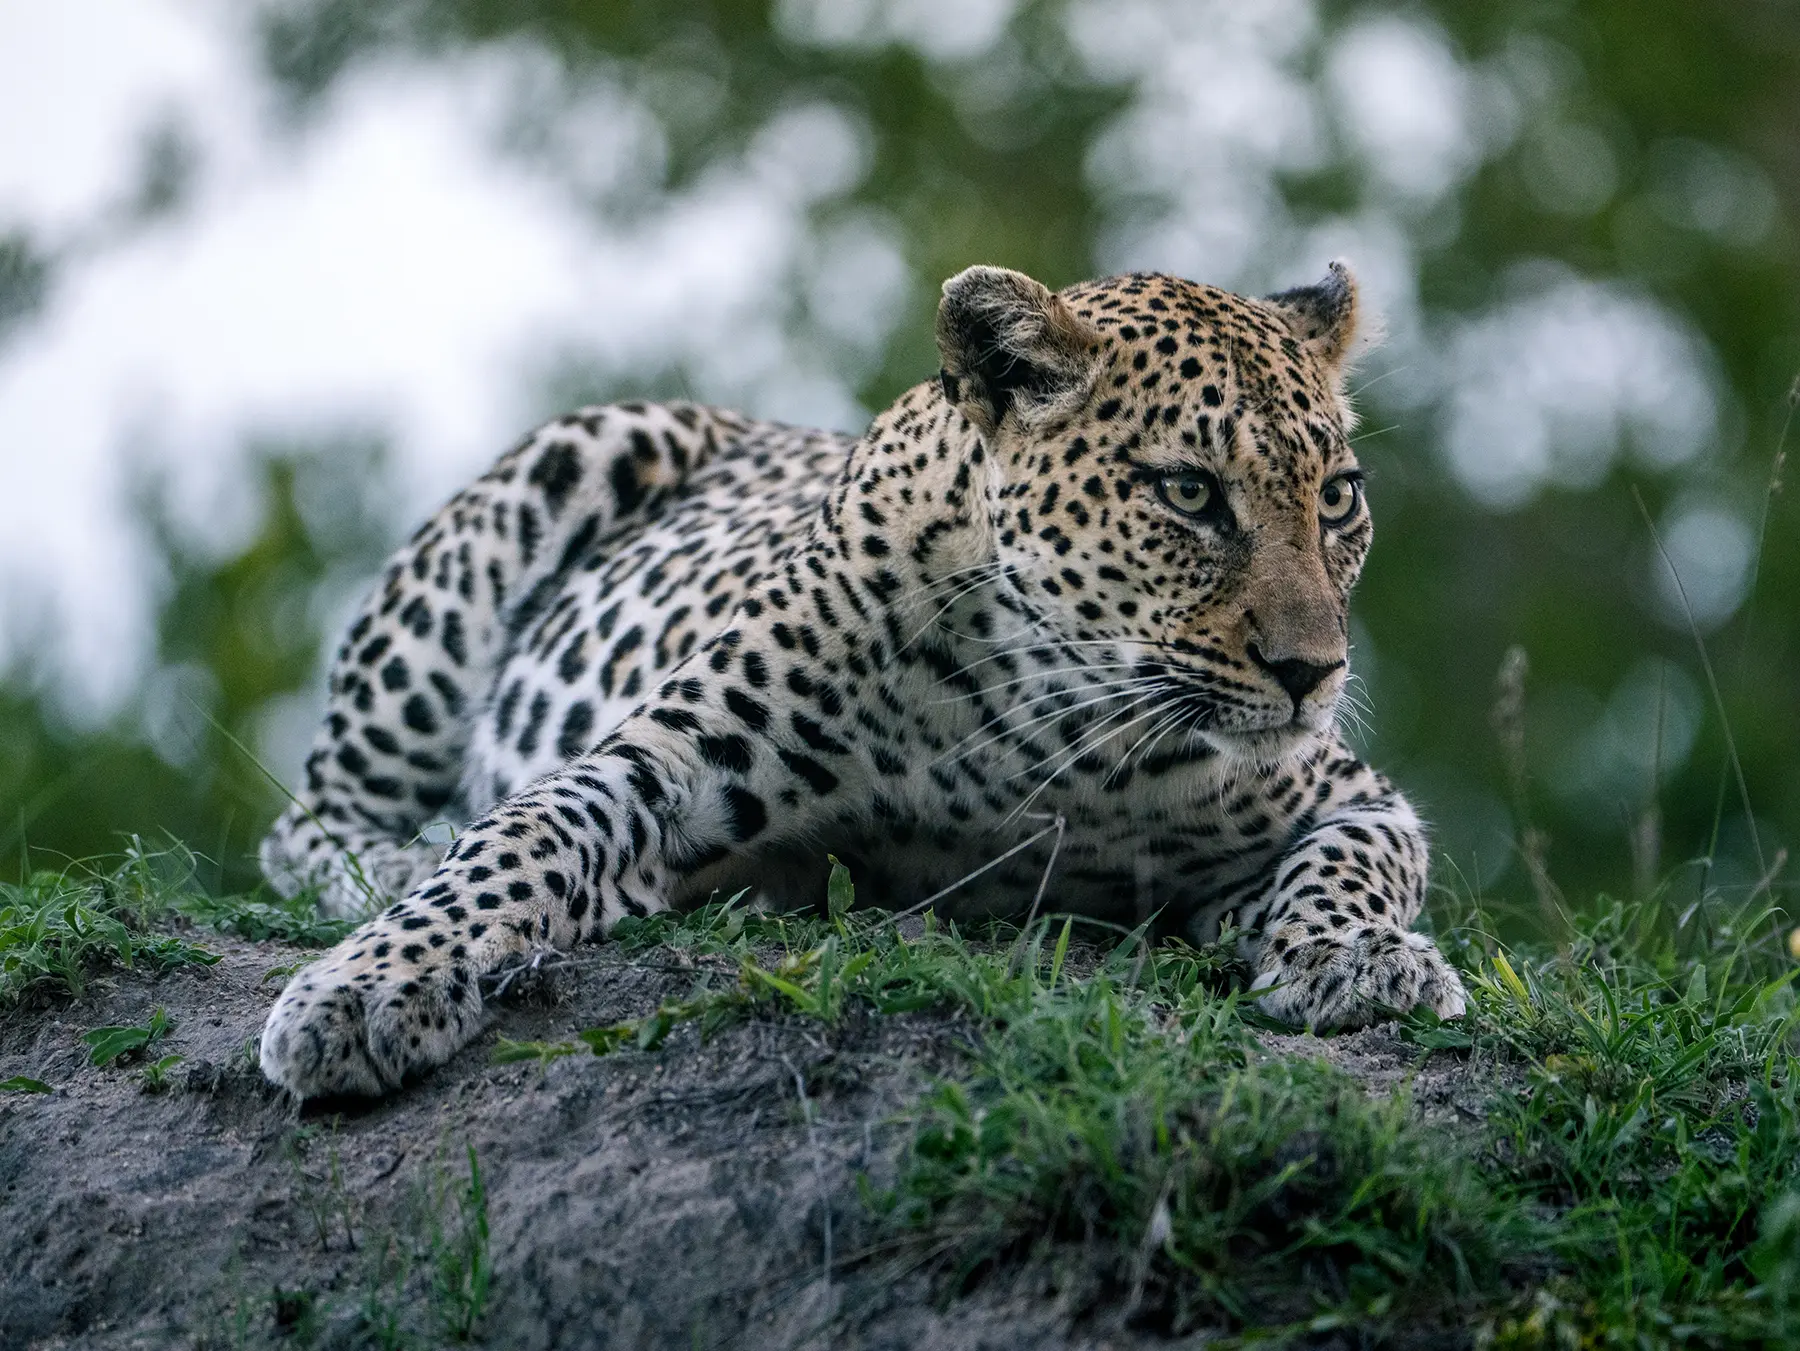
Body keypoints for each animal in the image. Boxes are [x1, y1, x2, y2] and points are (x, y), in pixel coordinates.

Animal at [258, 261, 1468, 1099]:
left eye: (1339, 497)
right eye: (1188, 491)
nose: (1314, 672)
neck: (1048, 736)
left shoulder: (1354, 795)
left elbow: (1354, 863)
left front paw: (1358, 953)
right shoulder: (662, 765)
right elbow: (518, 841)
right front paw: (366, 988)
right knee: (307, 826)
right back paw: (392, 859)